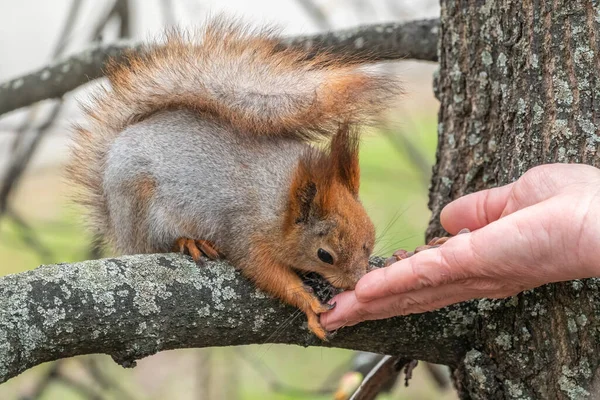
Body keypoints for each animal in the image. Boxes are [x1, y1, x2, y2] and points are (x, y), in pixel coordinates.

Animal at [68, 17, 400, 340]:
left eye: (369, 239)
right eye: (324, 255)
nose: (357, 281)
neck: (280, 202)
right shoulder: (245, 234)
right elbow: (265, 271)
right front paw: (308, 303)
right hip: (141, 207)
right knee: (156, 244)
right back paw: (190, 242)